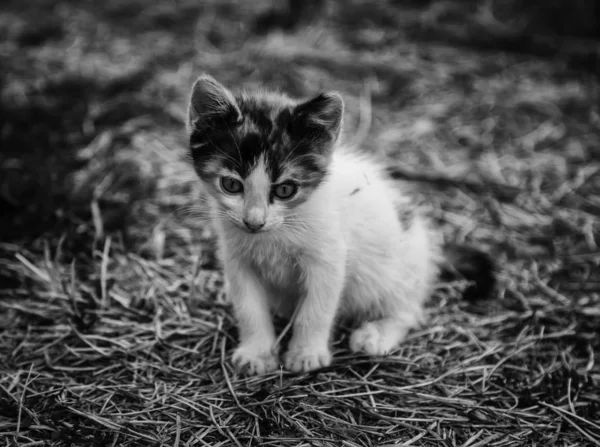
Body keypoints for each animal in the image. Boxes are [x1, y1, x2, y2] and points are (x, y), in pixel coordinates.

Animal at [185, 73, 494, 374]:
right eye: (231, 185)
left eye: (285, 190)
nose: (254, 222)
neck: (276, 233)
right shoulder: (238, 259)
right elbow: (250, 310)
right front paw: (256, 353)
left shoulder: (329, 258)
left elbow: (316, 310)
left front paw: (306, 353)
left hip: (398, 272)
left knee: (407, 310)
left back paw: (375, 334)